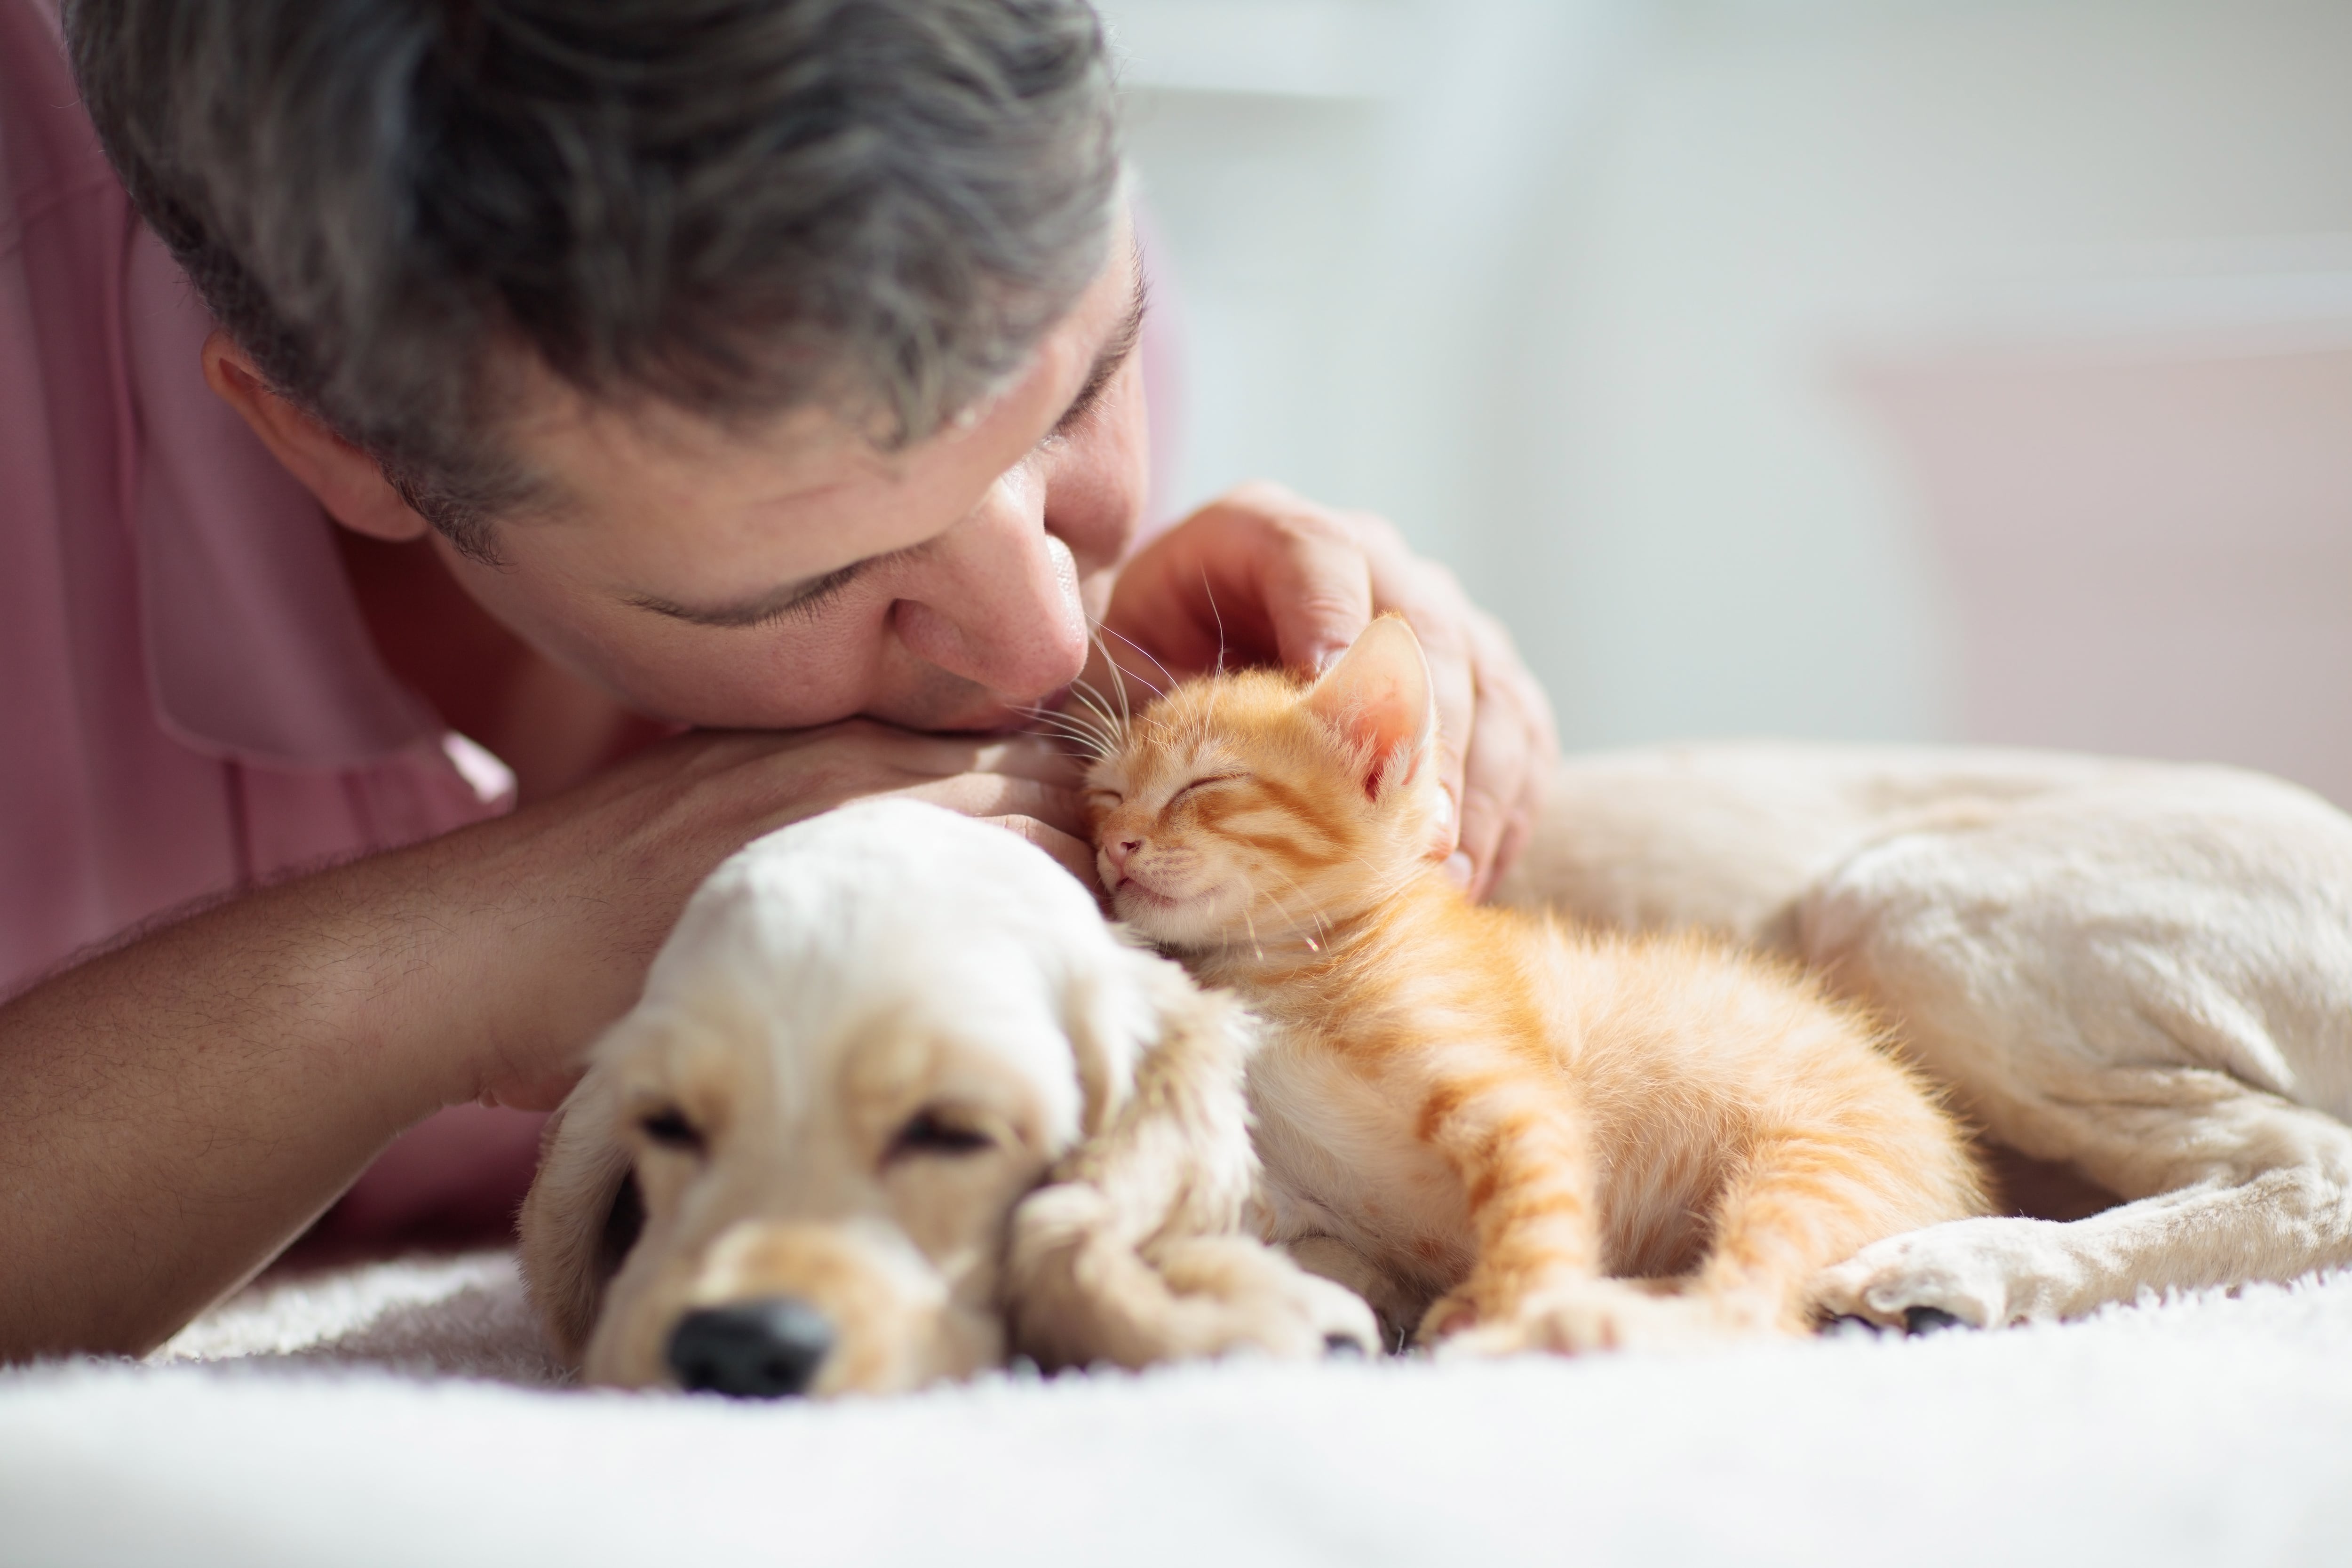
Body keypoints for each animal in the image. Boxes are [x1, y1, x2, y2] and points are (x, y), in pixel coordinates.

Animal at [1077, 621, 1985, 1354]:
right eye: (1107, 794)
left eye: (1203, 785)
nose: (1116, 844)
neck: (1276, 965)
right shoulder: (1281, 1181)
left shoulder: (1509, 1095)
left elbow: (1536, 1212)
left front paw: (1517, 1313)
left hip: (1818, 1166)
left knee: (1756, 1311)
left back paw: (1592, 1321)